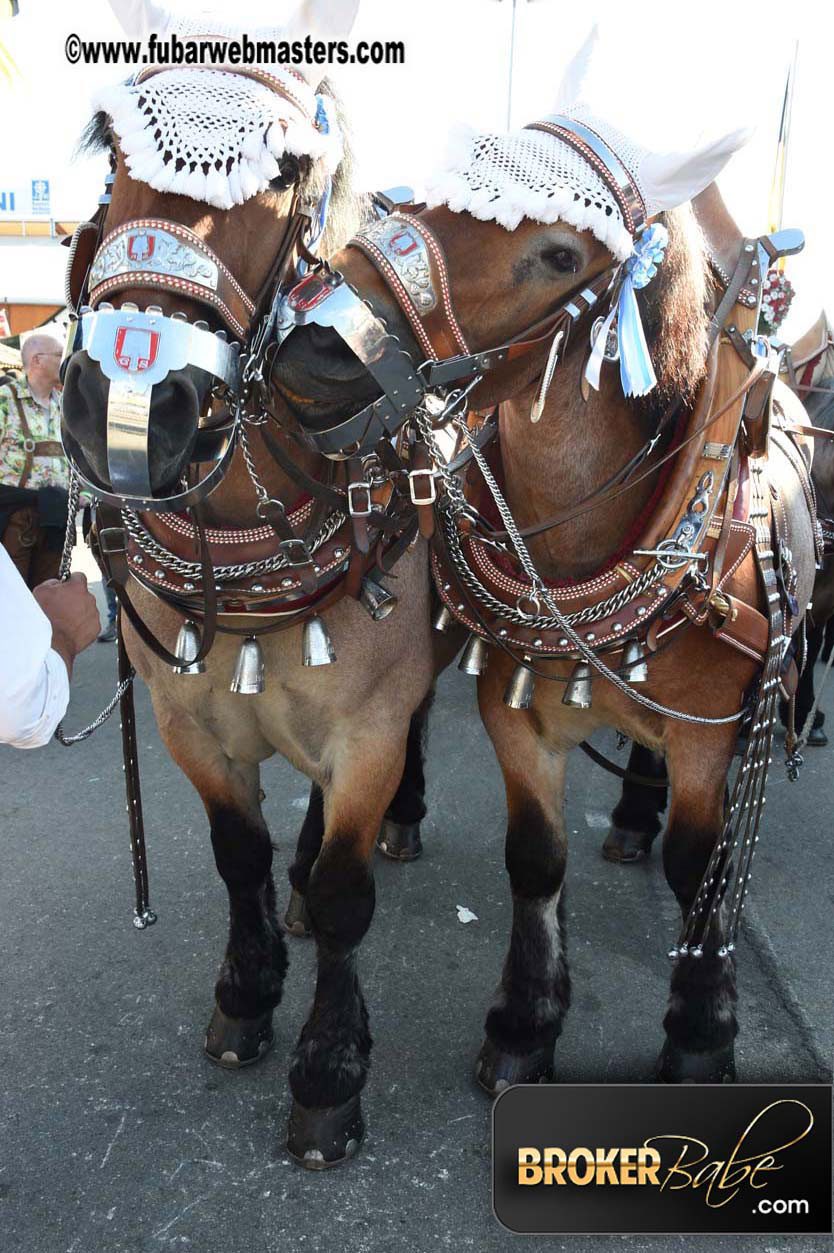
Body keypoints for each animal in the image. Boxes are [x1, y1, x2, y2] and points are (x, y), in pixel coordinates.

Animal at [61, 92, 430, 1167]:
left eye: (283, 174)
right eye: (115, 153)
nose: (131, 403)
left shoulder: (369, 729)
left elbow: (349, 894)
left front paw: (329, 1071)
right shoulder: (191, 725)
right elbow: (240, 854)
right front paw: (246, 993)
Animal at [275, 182, 816, 1087]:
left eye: (562, 254)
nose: (311, 347)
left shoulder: (708, 732)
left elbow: (697, 866)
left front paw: (701, 1030)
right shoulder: (514, 712)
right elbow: (535, 857)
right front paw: (525, 1023)